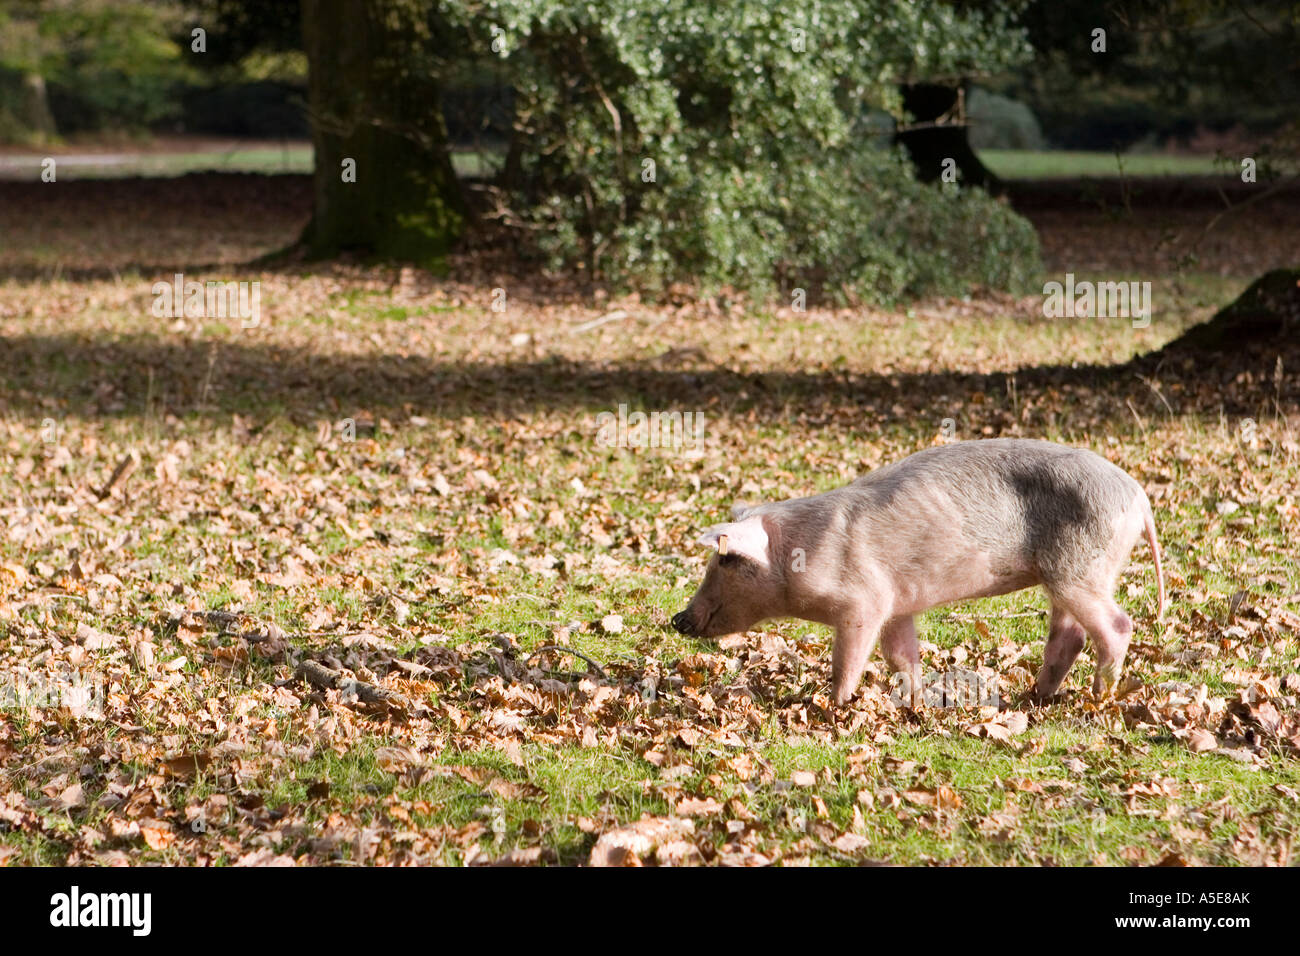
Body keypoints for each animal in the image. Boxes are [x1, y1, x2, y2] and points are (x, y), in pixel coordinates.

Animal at [676, 439, 1164, 702]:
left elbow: (849, 658)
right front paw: (915, 701)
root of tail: (1138, 497)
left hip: (1080, 568)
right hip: (1069, 574)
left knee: (1118, 624)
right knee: (1070, 634)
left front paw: (834, 704)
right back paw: (1036, 696)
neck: (796, 552)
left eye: (724, 560)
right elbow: (901, 654)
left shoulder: (864, 603)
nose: (677, 618)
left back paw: (1100, 694)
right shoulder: (897, 605)